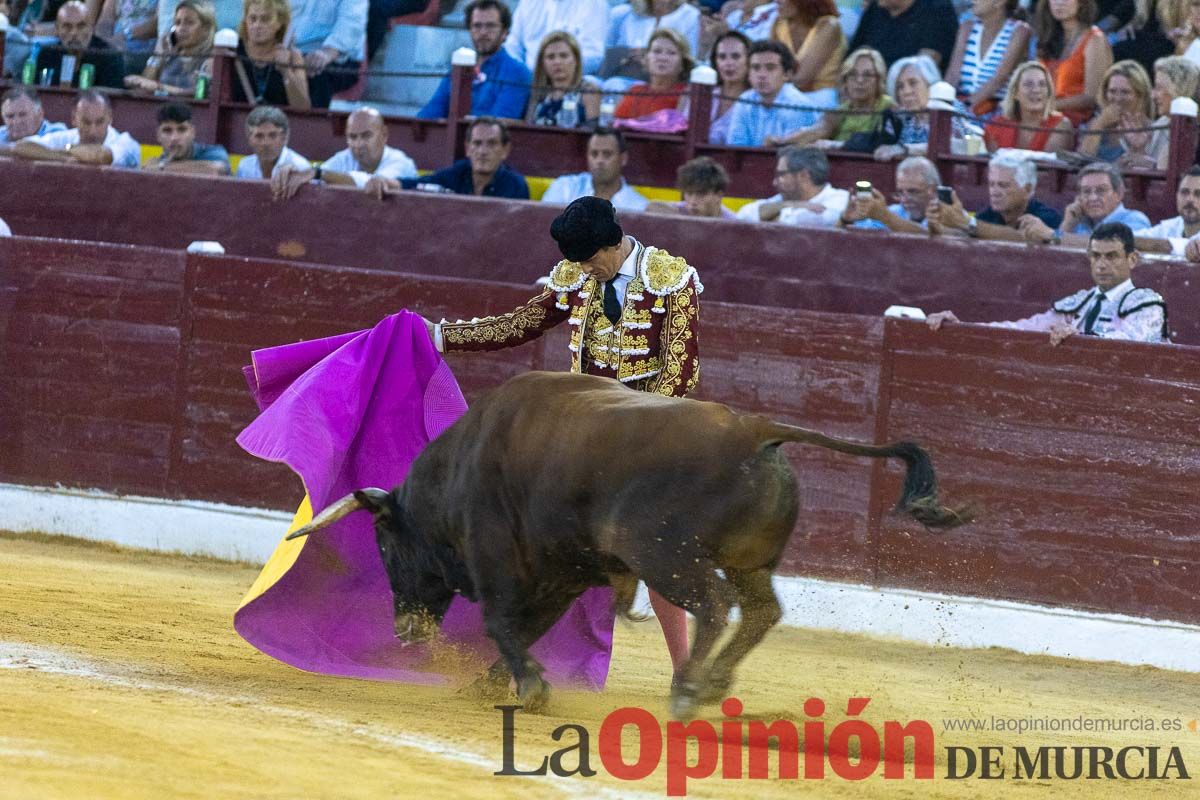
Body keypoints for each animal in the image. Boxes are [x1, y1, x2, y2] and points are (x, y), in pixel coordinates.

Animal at [290, 371, 974, 719]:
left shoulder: (498, 563)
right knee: (759, 609)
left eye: (385, 547)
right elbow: (526, 627)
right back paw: (713, 682)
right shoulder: (560, 573)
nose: (404, 630)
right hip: (748, 561)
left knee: (712, 606)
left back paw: (688, 690)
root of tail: (758, 429)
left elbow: (500, 623)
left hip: (665, 555)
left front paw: (528, 687)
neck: (457, 471)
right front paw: (493, 685)